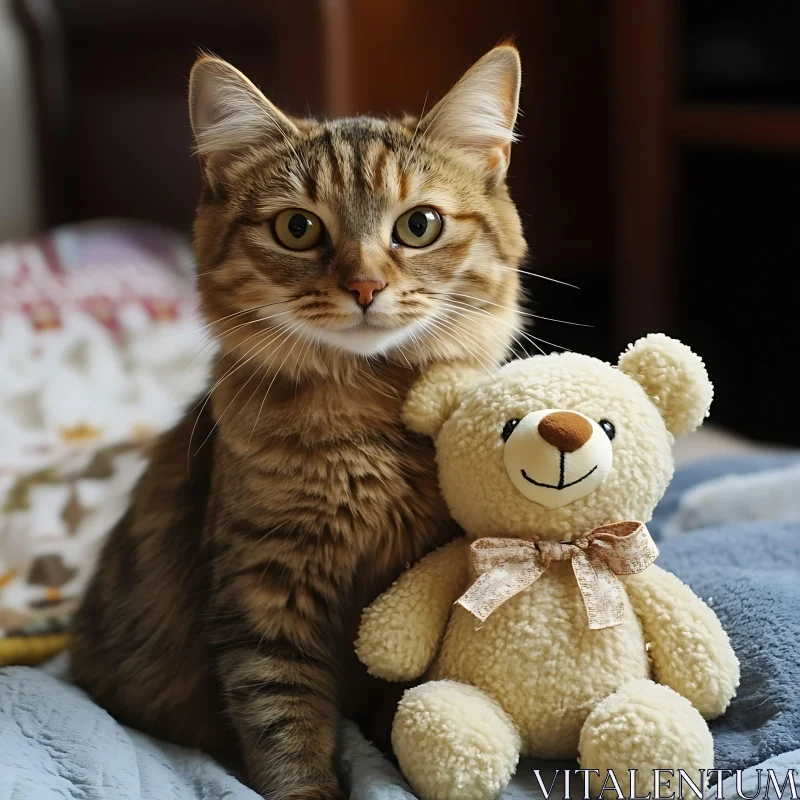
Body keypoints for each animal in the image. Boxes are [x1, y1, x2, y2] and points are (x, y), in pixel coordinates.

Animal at [72, 45, 528, 800]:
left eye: (419, 225)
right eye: (298, 228)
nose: (365, 287)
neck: (368, 419)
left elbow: (399, 697)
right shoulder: (266, 593)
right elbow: (286, 726)